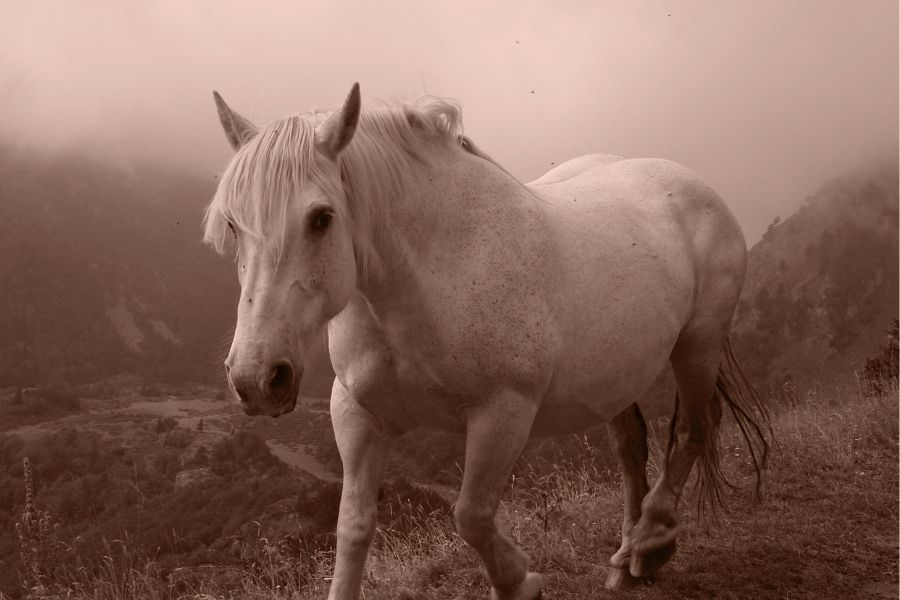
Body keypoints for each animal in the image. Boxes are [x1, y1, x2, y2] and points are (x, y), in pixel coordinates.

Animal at [204, 84, 768, 600]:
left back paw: (650, 545)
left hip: (697, 347)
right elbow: (353, 527)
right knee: (631, 447)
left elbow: (471, 515)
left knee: (694, 431)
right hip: (616, 374)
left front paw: (520, 581)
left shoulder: (503, 415)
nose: (257, 379)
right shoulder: (358, 415)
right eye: (232, 224)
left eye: (321, 218)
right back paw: (625, 559)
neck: (434, 274)